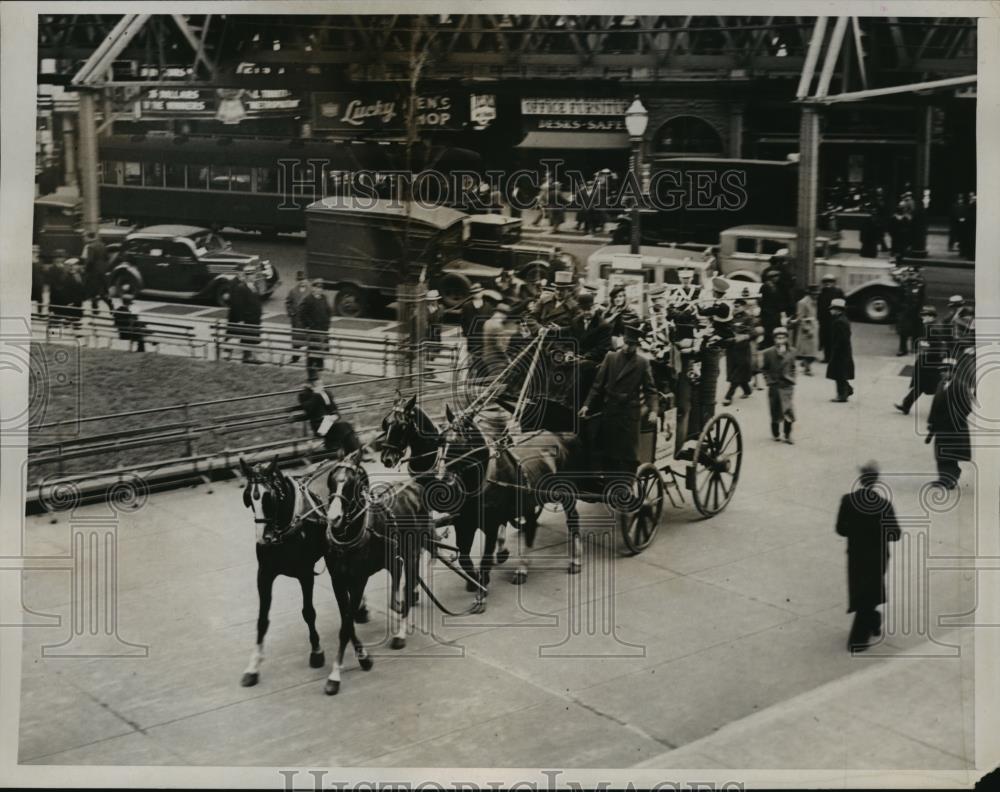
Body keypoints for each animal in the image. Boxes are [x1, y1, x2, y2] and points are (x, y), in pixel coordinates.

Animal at [320, 448, 430, 696]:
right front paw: (363, 657)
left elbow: (346, 626)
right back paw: (397, 605)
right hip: (394, 556)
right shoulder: (338, 581)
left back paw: (400, 633)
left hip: (412, 553)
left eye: (351, 483)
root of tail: (414, 486)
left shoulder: (358, 580)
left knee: (409, 585)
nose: (333, 518)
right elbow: (347, 622)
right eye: (331, 480)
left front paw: (334, 675)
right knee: (397, 578)